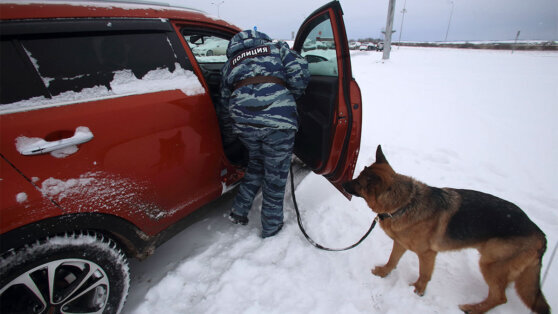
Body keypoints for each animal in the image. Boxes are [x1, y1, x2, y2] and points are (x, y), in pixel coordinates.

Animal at [344, 146, 548, 312]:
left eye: (358, 183)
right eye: (357, 177)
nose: (344, 182)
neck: (404, 204)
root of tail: (541, 236)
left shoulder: (427, 254)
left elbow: (424, 274)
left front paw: (418, 291)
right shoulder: (401, 243)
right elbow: (392, 260)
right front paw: (384, 273)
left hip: (490, 264)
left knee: (500, 297)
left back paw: (473, 308)